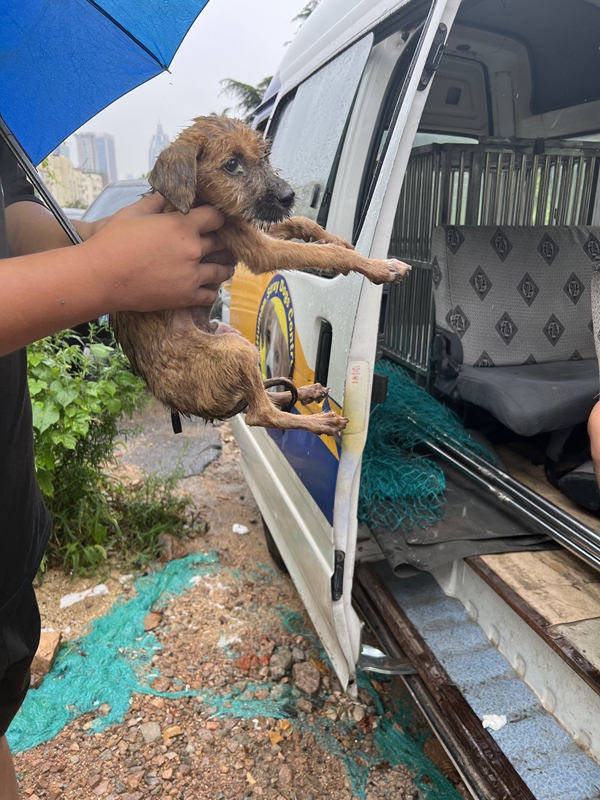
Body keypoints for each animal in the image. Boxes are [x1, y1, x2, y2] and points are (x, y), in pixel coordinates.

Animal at [112, 116, 410, 436]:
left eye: (265, 155)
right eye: (232, 165)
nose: (289, 196)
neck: (199, 200)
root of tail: (181, 404)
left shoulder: (253, 227)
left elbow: (302, 223)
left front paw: (335, 239)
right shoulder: (255, 247)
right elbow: (323, 254)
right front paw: (378, 267)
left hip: (232, 338)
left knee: (265, 397)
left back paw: (306, 393)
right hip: (237, 350)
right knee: (260, 413)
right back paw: (320, 421)